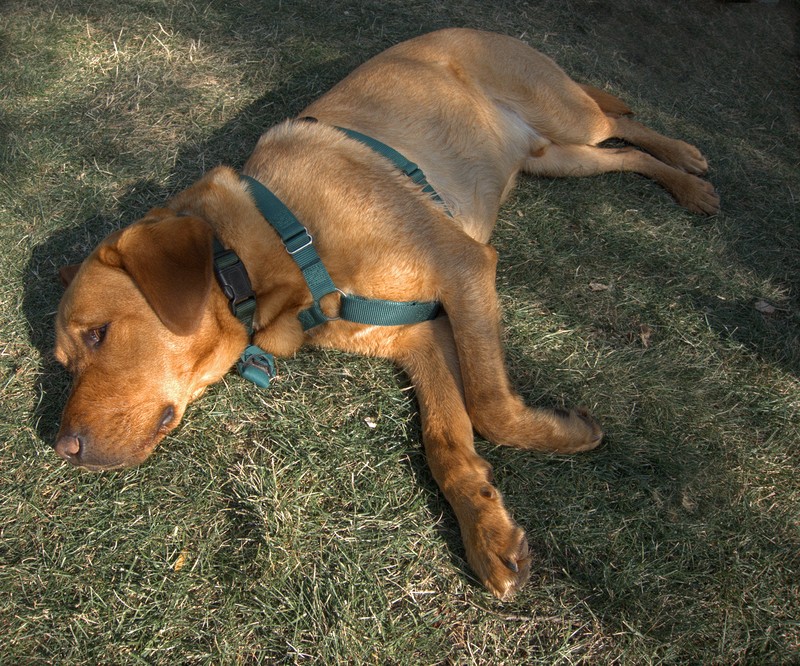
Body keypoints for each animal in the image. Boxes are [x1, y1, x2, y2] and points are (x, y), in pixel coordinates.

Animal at [53, 28, 719, 599]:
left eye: (99, 334)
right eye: (64, 361)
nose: (61, 447)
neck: (267, 251)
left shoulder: (463, 266)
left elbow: (492, 408)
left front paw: (565, 435)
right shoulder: (423, 336)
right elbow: (447, 440)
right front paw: (486, 528)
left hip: (563, 114)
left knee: (621, 121)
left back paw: (688, 158)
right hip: (556, 157)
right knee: (622, 154)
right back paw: (683, 181)